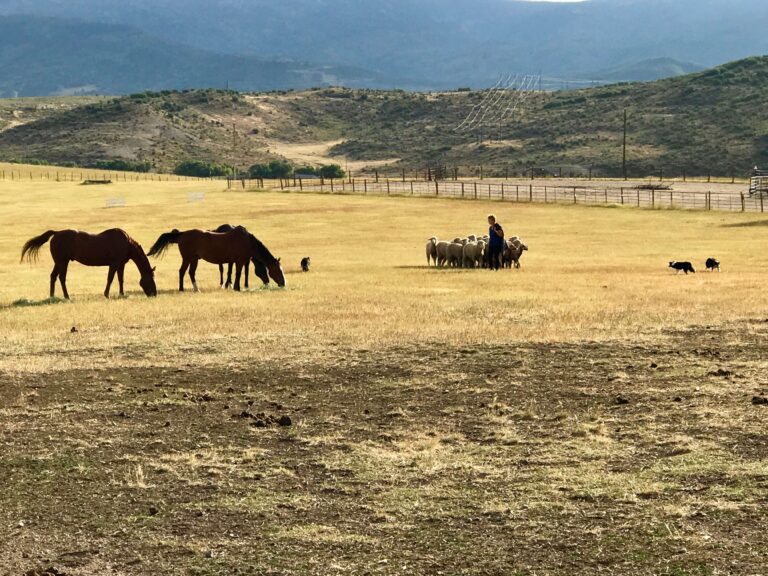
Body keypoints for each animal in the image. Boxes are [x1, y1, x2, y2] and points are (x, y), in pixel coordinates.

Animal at [20, 228, 158, 300]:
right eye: (151, 279)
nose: (154, 294)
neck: (127, 243)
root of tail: (56, 233)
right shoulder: (114, 264)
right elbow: (110, 279)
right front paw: (106, 294)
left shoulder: (121, 264)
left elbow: (120, 279)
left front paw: (122, 294)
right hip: (63, 262)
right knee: (61, 277)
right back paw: (67, 296)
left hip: (58, 262)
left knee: (53, 276)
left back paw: (52, 296)